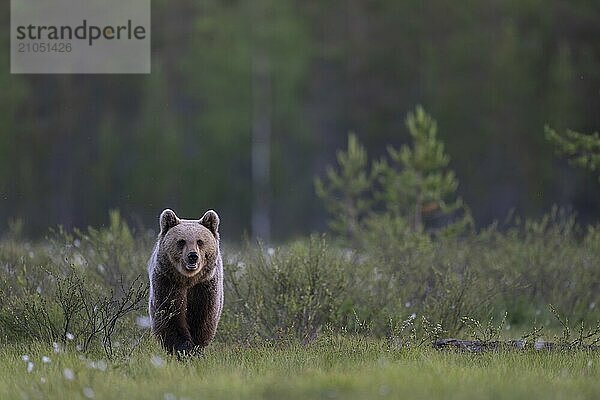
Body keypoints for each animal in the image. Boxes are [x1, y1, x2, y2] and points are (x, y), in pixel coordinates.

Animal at [147, 209, 223, 354]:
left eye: (200, 241)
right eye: (181, 241)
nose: (193, 256)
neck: (188, 279)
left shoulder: (205, 286)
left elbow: (203, 318)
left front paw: (196, 347)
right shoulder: (168, 282)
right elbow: (171, 316)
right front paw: (183, 348)